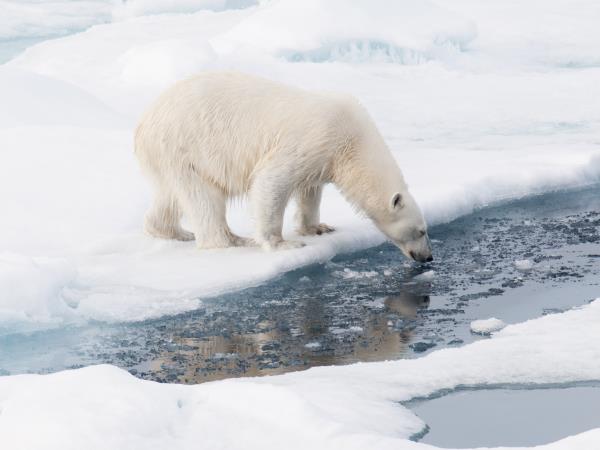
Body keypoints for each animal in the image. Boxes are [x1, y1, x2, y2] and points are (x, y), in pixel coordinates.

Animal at [137, 70, 432, 260]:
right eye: (421, 230)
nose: (427, 257)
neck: (353, 141)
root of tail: (144, 123)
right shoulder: (313, 138)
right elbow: (272, 181)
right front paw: (283, 244)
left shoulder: (323, 156)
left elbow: (310, 190)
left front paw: (318, 227)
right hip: (187, 145)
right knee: (204, 199)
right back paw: (232, 241)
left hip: (172, 159)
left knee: (172, 196)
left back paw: (172, 231)